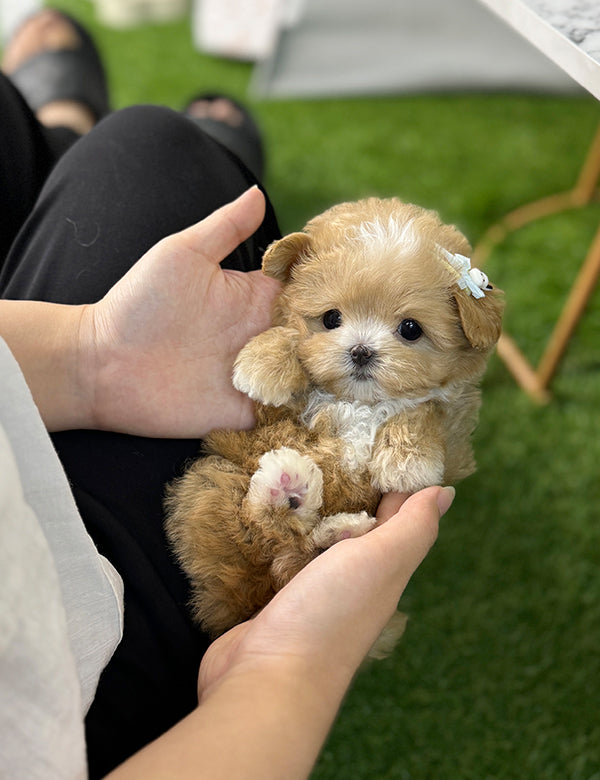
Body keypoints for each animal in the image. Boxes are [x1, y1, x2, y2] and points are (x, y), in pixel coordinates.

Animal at [165, 195, 506, 652]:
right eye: (330, 319)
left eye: (410, 328)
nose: (361, 351)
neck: (359, 402)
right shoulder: (280, 415)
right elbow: (291, 339)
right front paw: (263, 364)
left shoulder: (455, 430)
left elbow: (423, 409)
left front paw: (407, 460)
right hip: (211, 483)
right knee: (266, 534)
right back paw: (288, 490)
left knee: (297, 553)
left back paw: (335, 526)